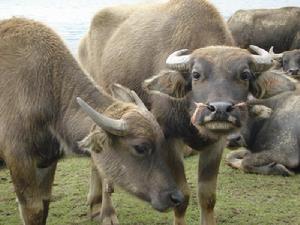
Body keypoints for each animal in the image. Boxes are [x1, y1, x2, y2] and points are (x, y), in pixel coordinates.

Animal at [0, 18, 183, 225]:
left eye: (162, 141)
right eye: (140, 147)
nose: (175, 197)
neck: (49, 91)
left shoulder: (47, 161)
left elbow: (45, 204)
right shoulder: (19, 159)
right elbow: (34, 211)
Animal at [77, 0, 276, 223]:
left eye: (245, 75)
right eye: (196, 74)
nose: (220, 109)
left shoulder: (217, 143)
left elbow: (207, 196)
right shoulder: (169, 138)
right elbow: (183, 196)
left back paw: (95, 203)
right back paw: (107, 212)